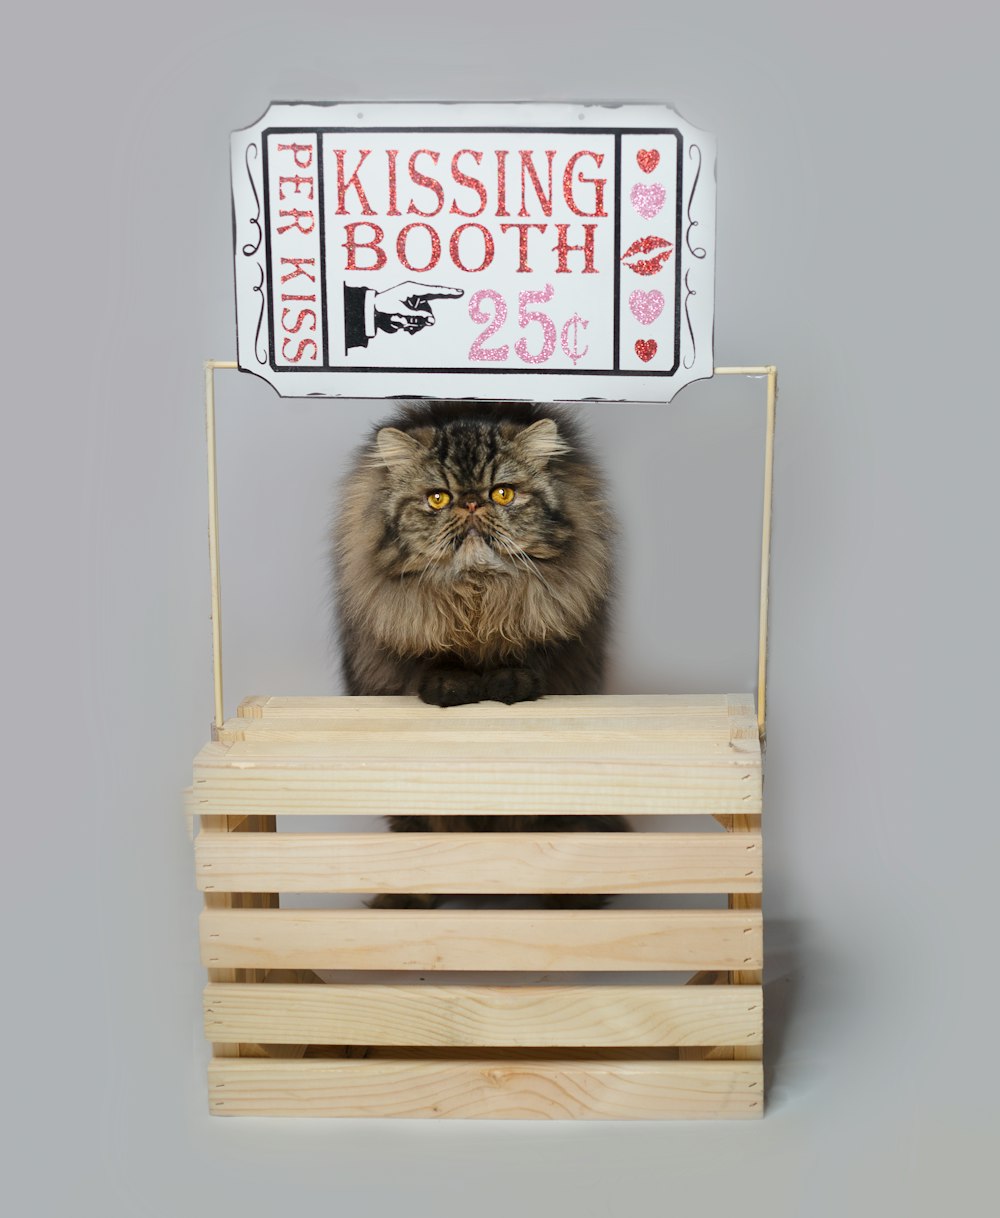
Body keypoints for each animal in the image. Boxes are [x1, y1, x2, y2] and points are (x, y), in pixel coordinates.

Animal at [331, 399, 628, 906]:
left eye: (503, 493)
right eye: (438, 499)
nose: (471, 502)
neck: (478, 595)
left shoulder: (547, 616)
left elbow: (522, 654)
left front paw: (508, 683)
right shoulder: (407, 621)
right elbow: (435, 658)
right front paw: (453, 686)